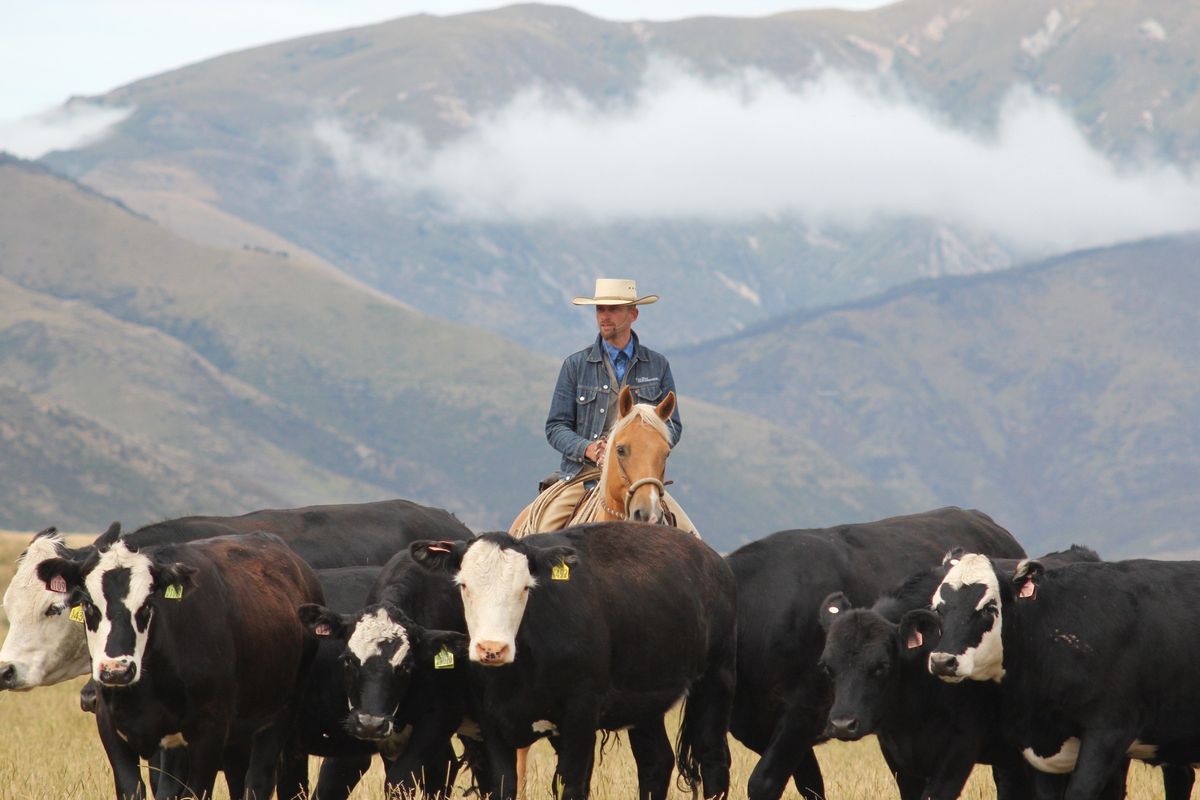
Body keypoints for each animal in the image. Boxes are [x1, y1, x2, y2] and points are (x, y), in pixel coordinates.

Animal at [39, 527, 326, 796]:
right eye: (88, 605)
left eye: (147, 604)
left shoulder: (209, 732)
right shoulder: (111, 729)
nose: (117, 671)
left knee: (258, 783)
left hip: (278, 718)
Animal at [408, 525, 734, 800]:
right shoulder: (491, 722)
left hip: (715, 681)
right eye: (464, 585)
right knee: (655, 761)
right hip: (646, 701)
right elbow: (505, 785)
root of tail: (711, 558)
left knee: (712, 757)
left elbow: (572, 785)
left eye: (525, 587)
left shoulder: (580, 712)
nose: (492, 648)